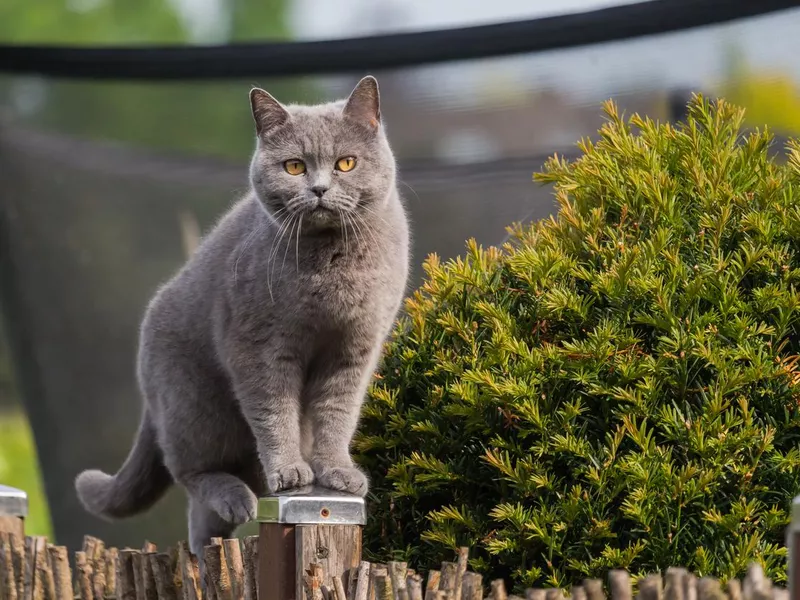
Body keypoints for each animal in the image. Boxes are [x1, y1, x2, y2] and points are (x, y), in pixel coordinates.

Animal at [73, 76, 412, 556]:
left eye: (346, 163)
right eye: (294, 167)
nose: (319, 189)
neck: (330, 266)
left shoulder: (354, 349)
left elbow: (337, 413)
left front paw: (337, 473)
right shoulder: (258, 346)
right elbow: (274, 410)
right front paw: (290, 471)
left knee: (201, 516)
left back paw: (211, 540)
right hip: (196, 404)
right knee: (190, 471)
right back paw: (236, 500)